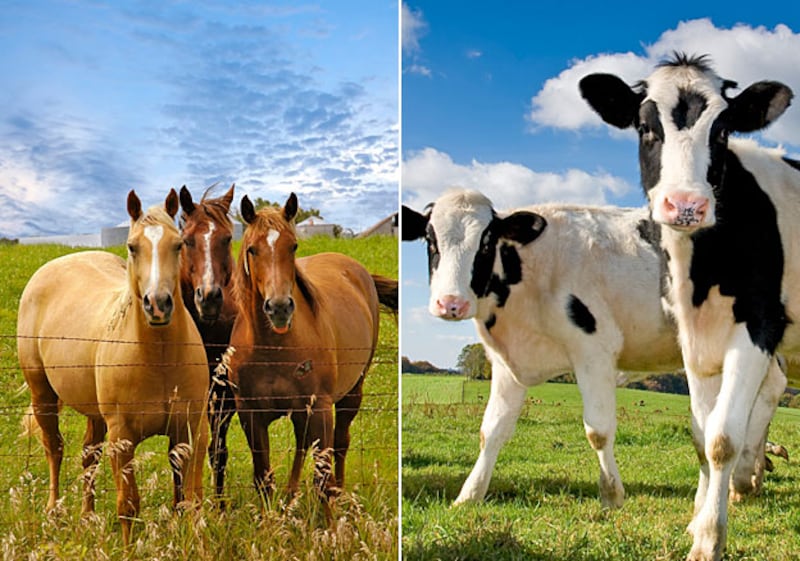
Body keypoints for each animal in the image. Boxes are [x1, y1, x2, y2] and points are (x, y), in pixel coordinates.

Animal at [17, 189, 209, 544]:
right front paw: (128, 547)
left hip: (93, 414)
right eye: (132, 246)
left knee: (88, 454)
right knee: (55, 448)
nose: (158, 304)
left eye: (178, 245)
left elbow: (190, 500)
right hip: (43, 395)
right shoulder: (122, 438)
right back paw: (54, 512)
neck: (159, 357)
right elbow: (129, 505)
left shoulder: (191, 429)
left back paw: (87, 516)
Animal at [228, 192, 397, 510]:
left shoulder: (319, 409)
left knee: (341, 443)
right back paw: (292, 493)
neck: (272, 347)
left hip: (351, 395)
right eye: (253, 249)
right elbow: (263, 479)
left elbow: (323, 481)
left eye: (293, 245)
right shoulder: (251, 414)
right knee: (302, 443)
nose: (279, 307)